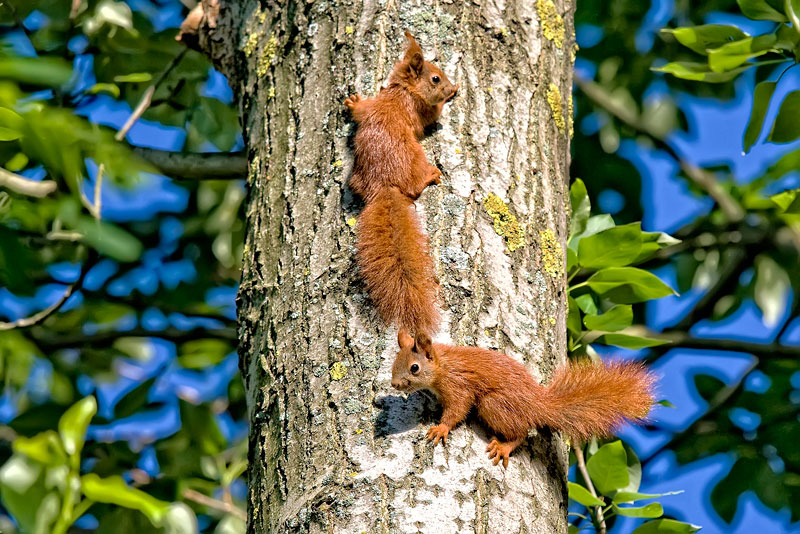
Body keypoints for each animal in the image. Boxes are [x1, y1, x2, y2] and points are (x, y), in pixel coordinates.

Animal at [342, 32, 456, 336]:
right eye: (436, 79)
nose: (450, 88)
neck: (402, 91)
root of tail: (384, 186)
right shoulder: (420, 110)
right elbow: (434, 115)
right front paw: (449, 99)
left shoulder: (376, 103)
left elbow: (361, 111)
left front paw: (352, 103)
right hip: (416, 157)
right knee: (415, 186)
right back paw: (431, 175)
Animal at [390, 330, 660, 468]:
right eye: (394, 363)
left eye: (414, 368)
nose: (394, 384)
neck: (443, 365)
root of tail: (538, 405)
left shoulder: (459, 386)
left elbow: (457, 409)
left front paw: (441, 428)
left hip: (494, 405)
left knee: (521, 433)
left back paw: (504, 446)